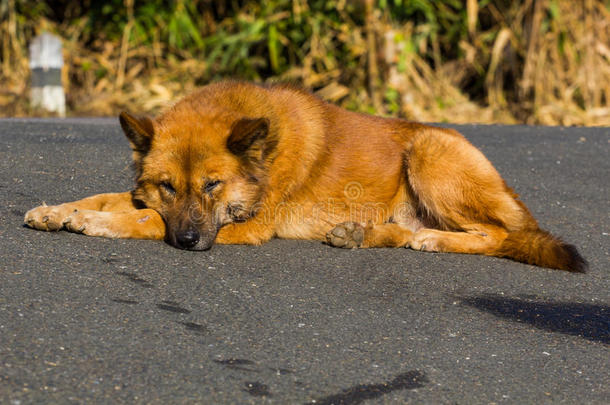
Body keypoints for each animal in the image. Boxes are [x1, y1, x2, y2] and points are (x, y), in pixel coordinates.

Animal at [25, 80, 584, 272]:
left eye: (212, 186)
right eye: (168, 186)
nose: (188, 243)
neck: (263, 157)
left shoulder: (244, 225)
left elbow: (144, 220)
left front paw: (96, 224)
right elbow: (111, 197)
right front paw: (59, 211)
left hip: (429, 153)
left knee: (498, 234)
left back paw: (434, 241)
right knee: (407, 230)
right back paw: (360, 234)